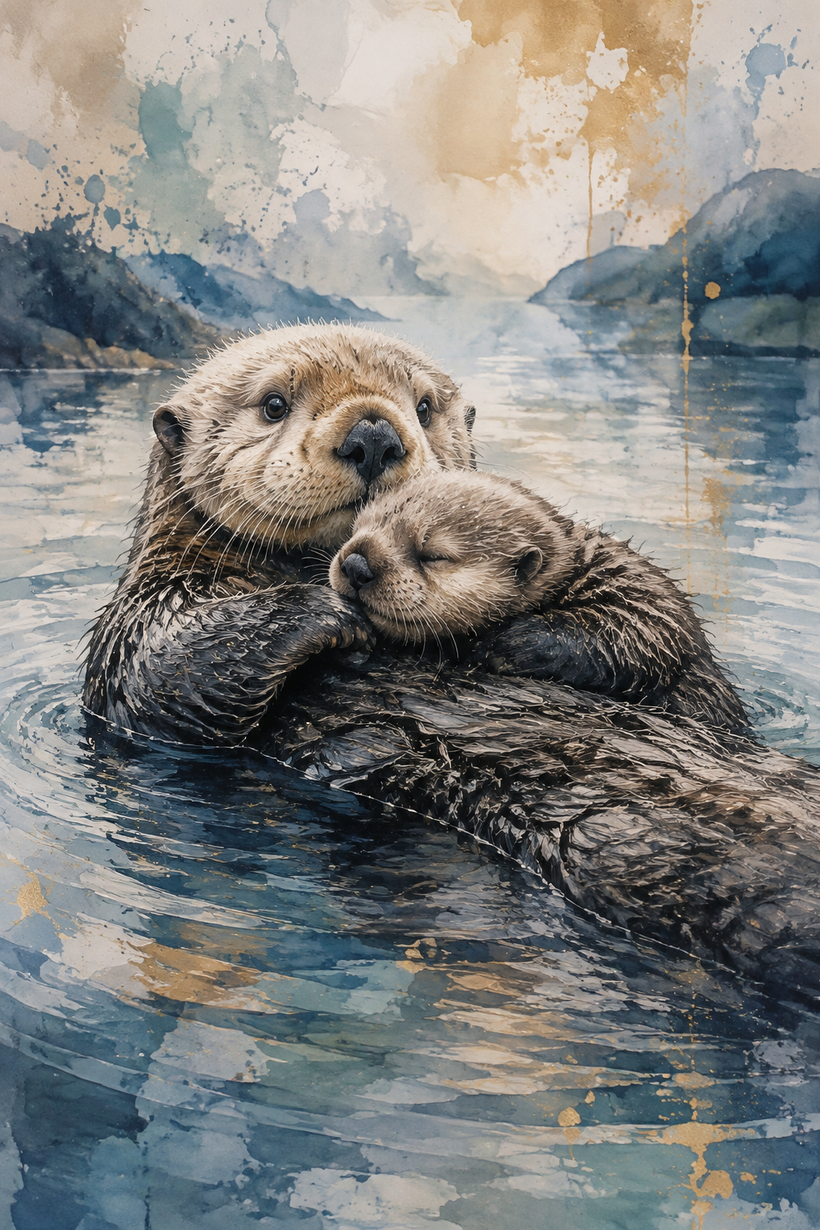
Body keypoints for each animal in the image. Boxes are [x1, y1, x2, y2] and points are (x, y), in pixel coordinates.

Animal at [329, 470, 747, 728]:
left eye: (433, 555)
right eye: (358, 527)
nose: (356, 564)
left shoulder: (644, 594)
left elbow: (636, 634)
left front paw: (504, 643)